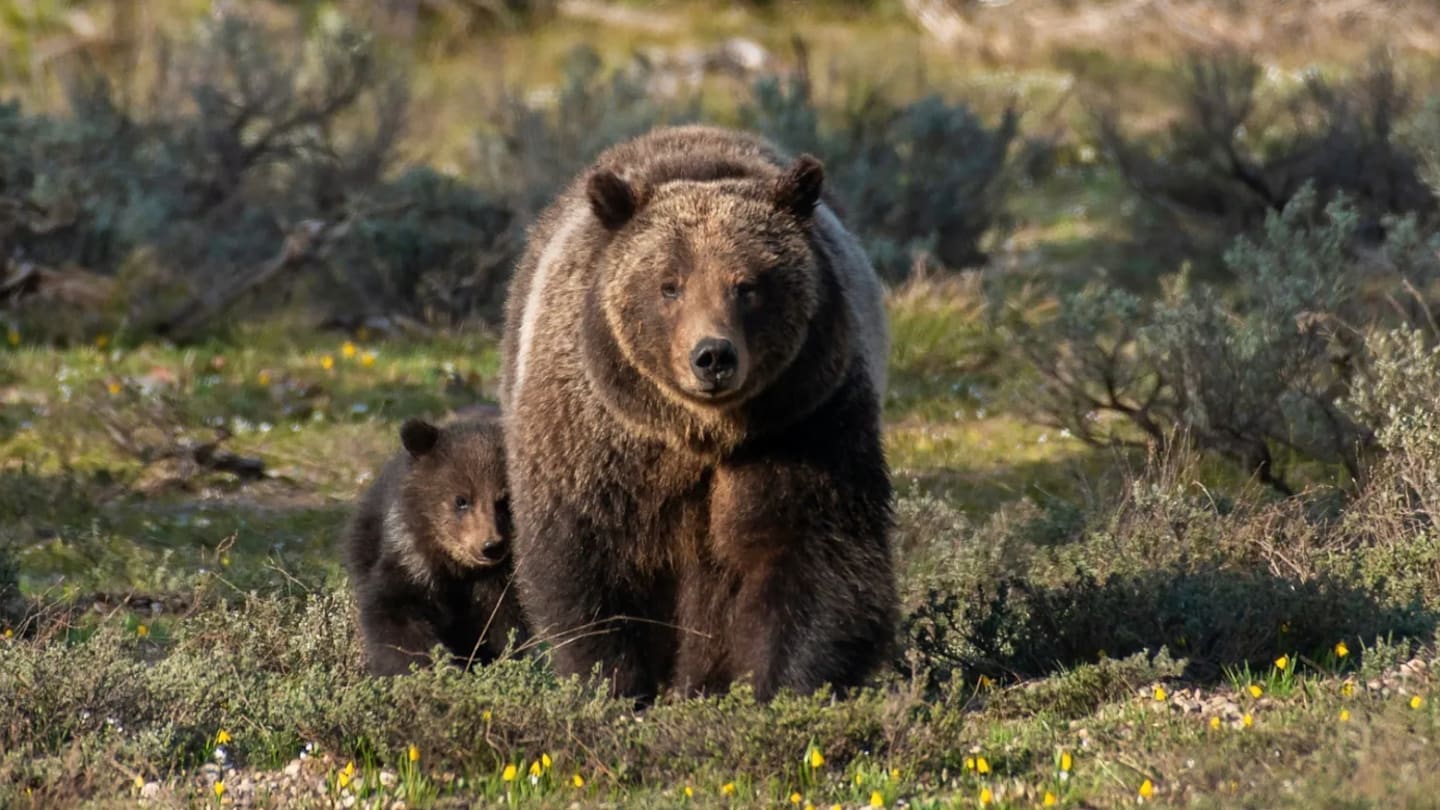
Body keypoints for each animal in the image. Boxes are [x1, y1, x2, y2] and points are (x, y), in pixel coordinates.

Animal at [343, 415, 529, 676]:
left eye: (504, 500)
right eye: (461, 500)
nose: (491, 546)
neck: (457, 567)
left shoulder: (499, 581)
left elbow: (503, 626)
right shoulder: (411, 561)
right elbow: (396, 616)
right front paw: (431, 666)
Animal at [498, 125, 895, 701]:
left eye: (747, 284)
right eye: (669, 284)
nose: (712, 356)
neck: (701, 433)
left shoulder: (805, 423)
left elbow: (812, 553)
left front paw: (780, 685)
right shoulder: (599, 442)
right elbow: (587, 562)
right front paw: (618, 682)